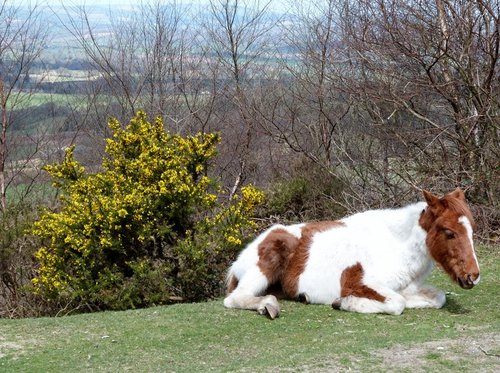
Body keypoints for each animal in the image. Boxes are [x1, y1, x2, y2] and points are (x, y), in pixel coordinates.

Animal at [224, 189, 480, 316]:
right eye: (449, 233)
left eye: (472, 229)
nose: (473, 276)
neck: (394, 246)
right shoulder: (360, 282)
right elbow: (397, 303)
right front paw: (345, 303)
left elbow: (437, 297)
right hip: (263, 268)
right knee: (235, 298)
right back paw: (267, 305)